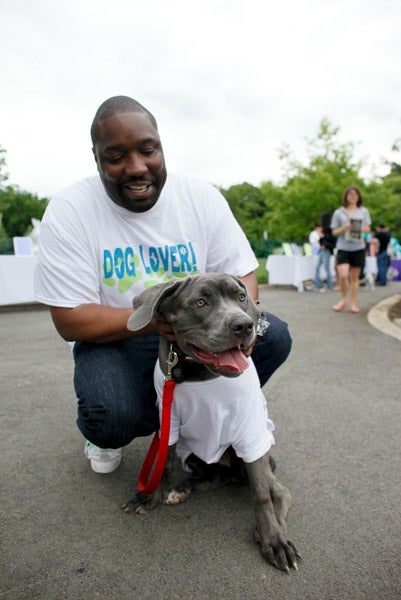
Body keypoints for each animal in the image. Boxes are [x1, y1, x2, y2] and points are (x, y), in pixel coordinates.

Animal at [123, 272, 298, 572]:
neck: (193, 371)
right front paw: (151, 496)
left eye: (241, 297)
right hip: (195, 454)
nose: (244, 325)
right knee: (215, 476)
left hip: (257, 457)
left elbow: (261, 495)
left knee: (278, 491)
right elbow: (164, 464)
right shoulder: (168, 422)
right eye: (200, 302)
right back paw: (181, 489)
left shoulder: (251, 435)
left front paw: (274, 541)